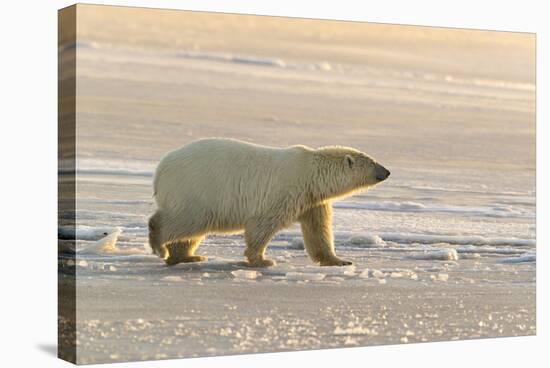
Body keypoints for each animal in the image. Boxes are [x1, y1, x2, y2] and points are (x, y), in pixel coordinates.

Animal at [149, 138, 390, 268]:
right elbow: (262, 225)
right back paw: (160, 245)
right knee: (187, 220)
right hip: (197, 188)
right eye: (372, 162)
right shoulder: (285, 191)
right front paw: (262, 260)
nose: (387, 171)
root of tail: (161, 169)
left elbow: (318, 230)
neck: (310, 174)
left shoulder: (312, 200)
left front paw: (339, 260)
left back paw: (188, 256)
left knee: (190, 231)